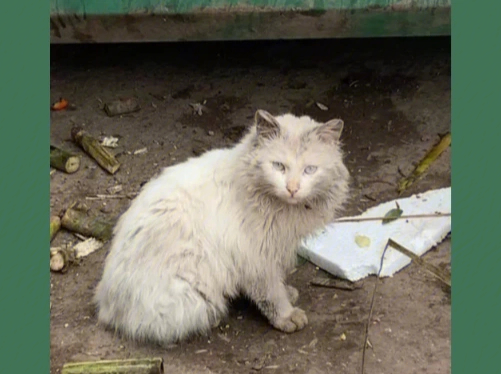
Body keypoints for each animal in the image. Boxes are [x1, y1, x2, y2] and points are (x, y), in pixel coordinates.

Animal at [94, 110, 348, 344]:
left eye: (309, 170)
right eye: (279, 166)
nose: (292, 189)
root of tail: (106, 306)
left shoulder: (271, 253)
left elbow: (278, 286)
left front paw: (289, 294)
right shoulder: (258, 261)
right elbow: (272, 295)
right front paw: (287, 317)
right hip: (195, 296)